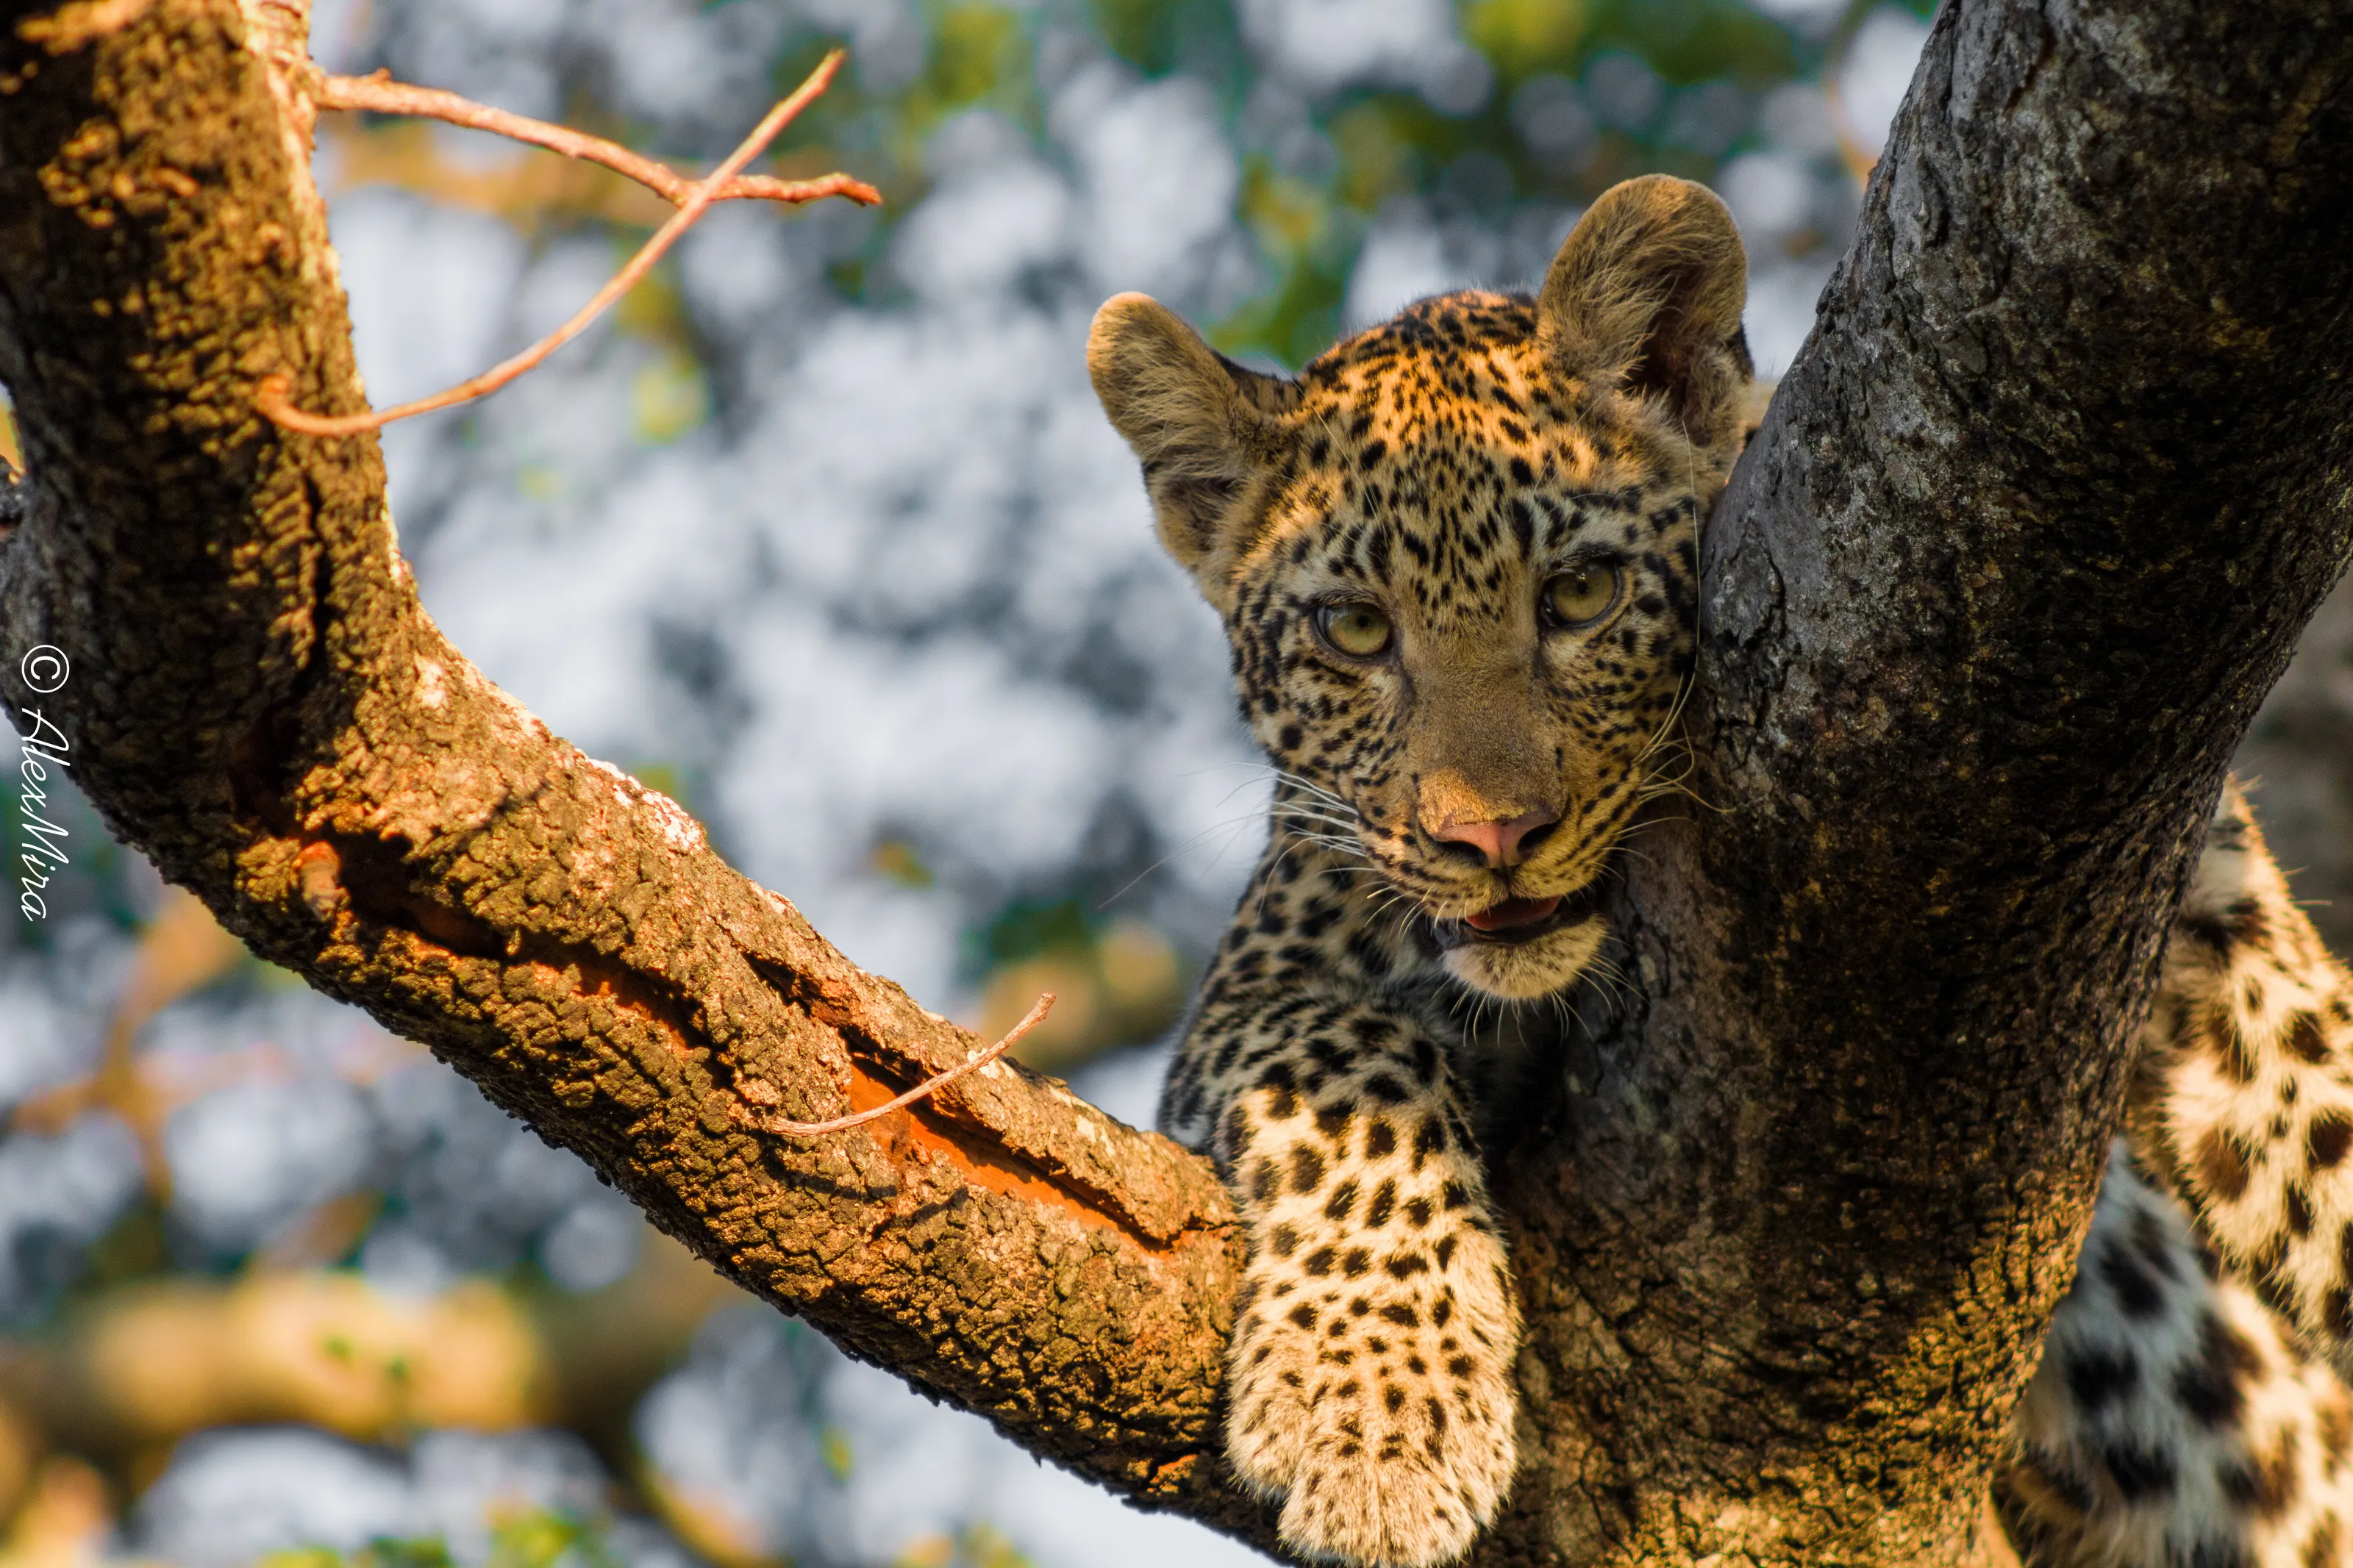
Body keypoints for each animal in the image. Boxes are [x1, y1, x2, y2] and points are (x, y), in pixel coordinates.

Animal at [1087, 174, 2353, 1568]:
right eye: (1355, 631)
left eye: (1583, 593)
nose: (1493, 840)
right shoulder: (1260, 981)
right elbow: (1354, 1071)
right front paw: (1378, 1422)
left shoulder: (2224, 925)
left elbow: (2329, 1106)